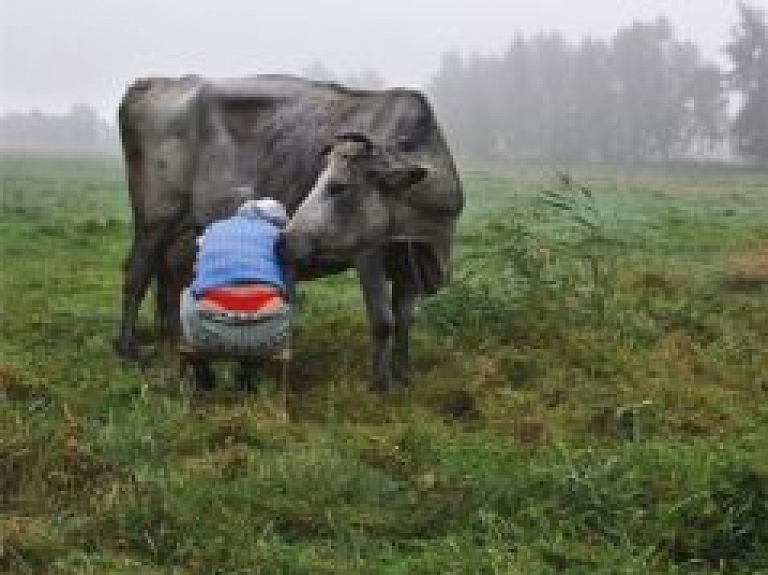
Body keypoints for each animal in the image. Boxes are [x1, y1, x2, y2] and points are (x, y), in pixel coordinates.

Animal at [114, 74, 462, 390]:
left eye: (339, 186)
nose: (286, 240)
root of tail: (154, 82)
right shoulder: (369, 253)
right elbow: (383, 322)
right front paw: (381, 384)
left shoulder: (411, 263)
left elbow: (404, 321)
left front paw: (404, 374)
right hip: (157, 219)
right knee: (137, 274)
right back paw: (129, 348)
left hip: (181, 236)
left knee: (168, 281)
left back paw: (172, 338)